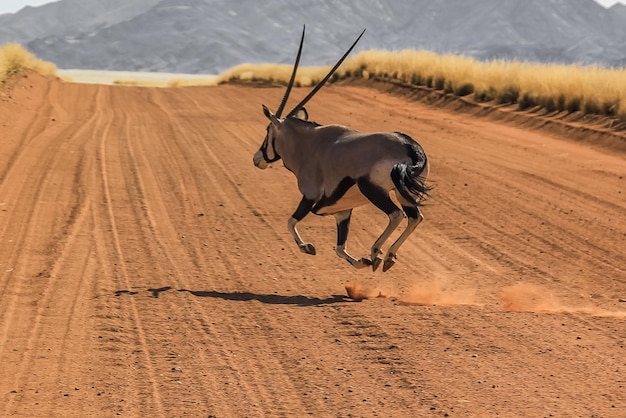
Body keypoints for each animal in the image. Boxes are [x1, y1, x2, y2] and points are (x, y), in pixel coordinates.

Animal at [252, 27, 428, 272]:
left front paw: (307, 247)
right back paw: (388, 257)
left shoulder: (310, 196)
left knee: (396, 215)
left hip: (373, 189)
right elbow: (339, 248)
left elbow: (290, 221)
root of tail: (409, 146)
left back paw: (376, 252)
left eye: (268, 130)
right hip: (402, 192)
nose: (257, 158)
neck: (308, 145)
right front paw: (360, 262)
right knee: (415, 216)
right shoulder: (341, 211)